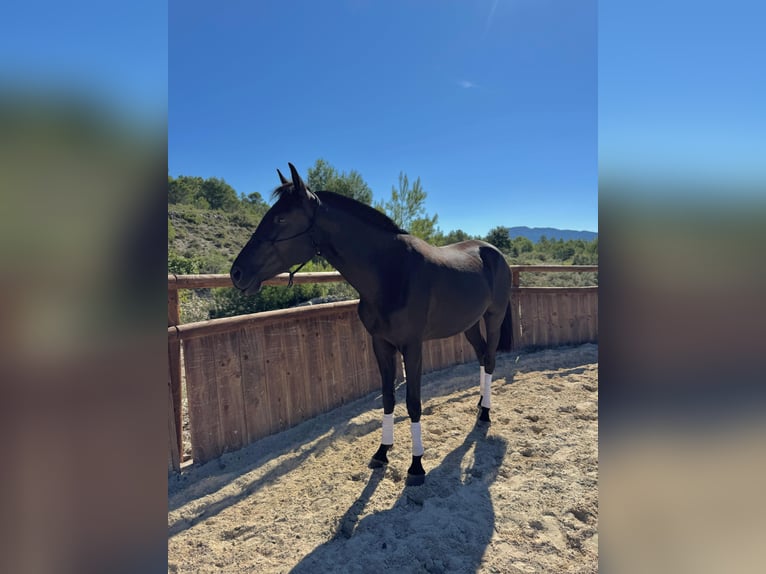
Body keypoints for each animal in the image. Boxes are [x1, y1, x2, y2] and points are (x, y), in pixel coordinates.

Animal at [230, 163, 513, 486]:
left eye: (280, 218)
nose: (237, 273)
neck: (391, 272)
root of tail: (493, 251)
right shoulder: (380, 343)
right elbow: (388, 397)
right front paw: (382, 452)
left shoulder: (412, 346)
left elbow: (413, 402)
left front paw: (416, 466)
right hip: (469, 324)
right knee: (481, 357)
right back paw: (479, 405)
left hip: (493, 317)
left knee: (490, 359)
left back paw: (486, 414)